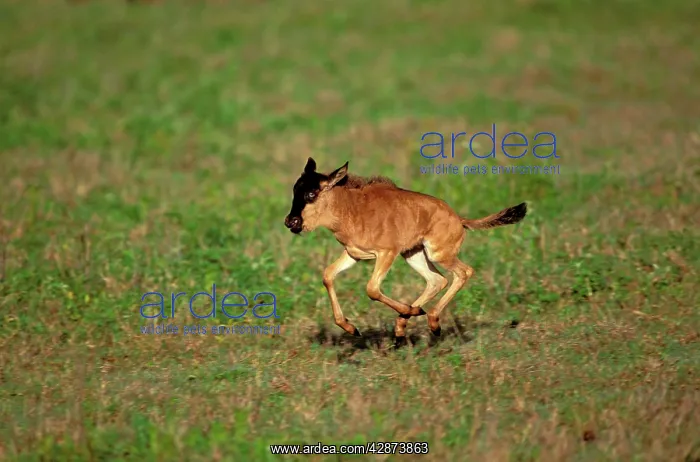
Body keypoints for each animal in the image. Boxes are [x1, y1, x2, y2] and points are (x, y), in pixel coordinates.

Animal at [284, 157, 527, 345]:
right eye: (296, 189)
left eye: (312, 193)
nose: (291, 222)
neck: (351, 209)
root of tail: (459, 219)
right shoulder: (354, 254)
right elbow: (327, 275)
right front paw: (352, 328)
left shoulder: (386, 253)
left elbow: (372, 289)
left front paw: (410, 311)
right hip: (413, 255)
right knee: (437, 280)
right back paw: (404, 326)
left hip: (438, 254)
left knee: (463, 272)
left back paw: (430, 322)